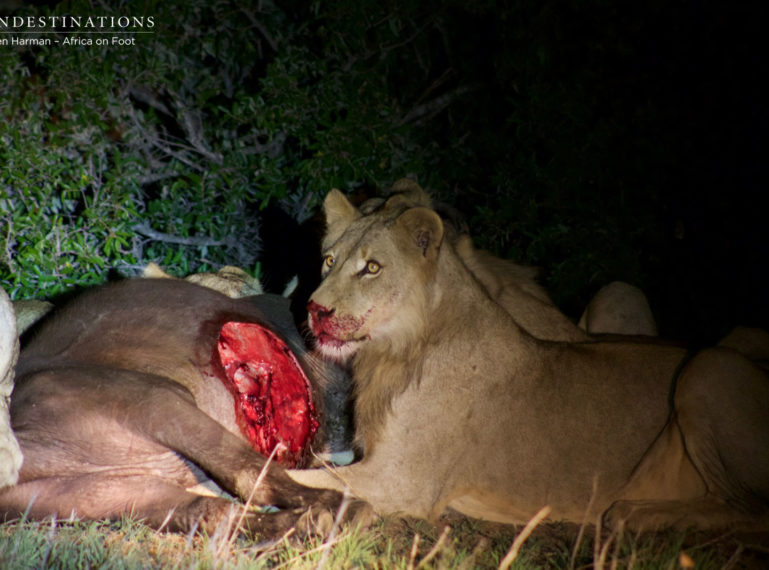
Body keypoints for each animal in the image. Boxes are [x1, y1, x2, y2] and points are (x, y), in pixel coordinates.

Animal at [288, 190, 768, 528]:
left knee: (749, 510)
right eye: (329, 261)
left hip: (710, 367)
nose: (315, 309)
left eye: (372, 268)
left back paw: (635, 515)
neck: (395, 352)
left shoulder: (401, 481)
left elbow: (308, 476)